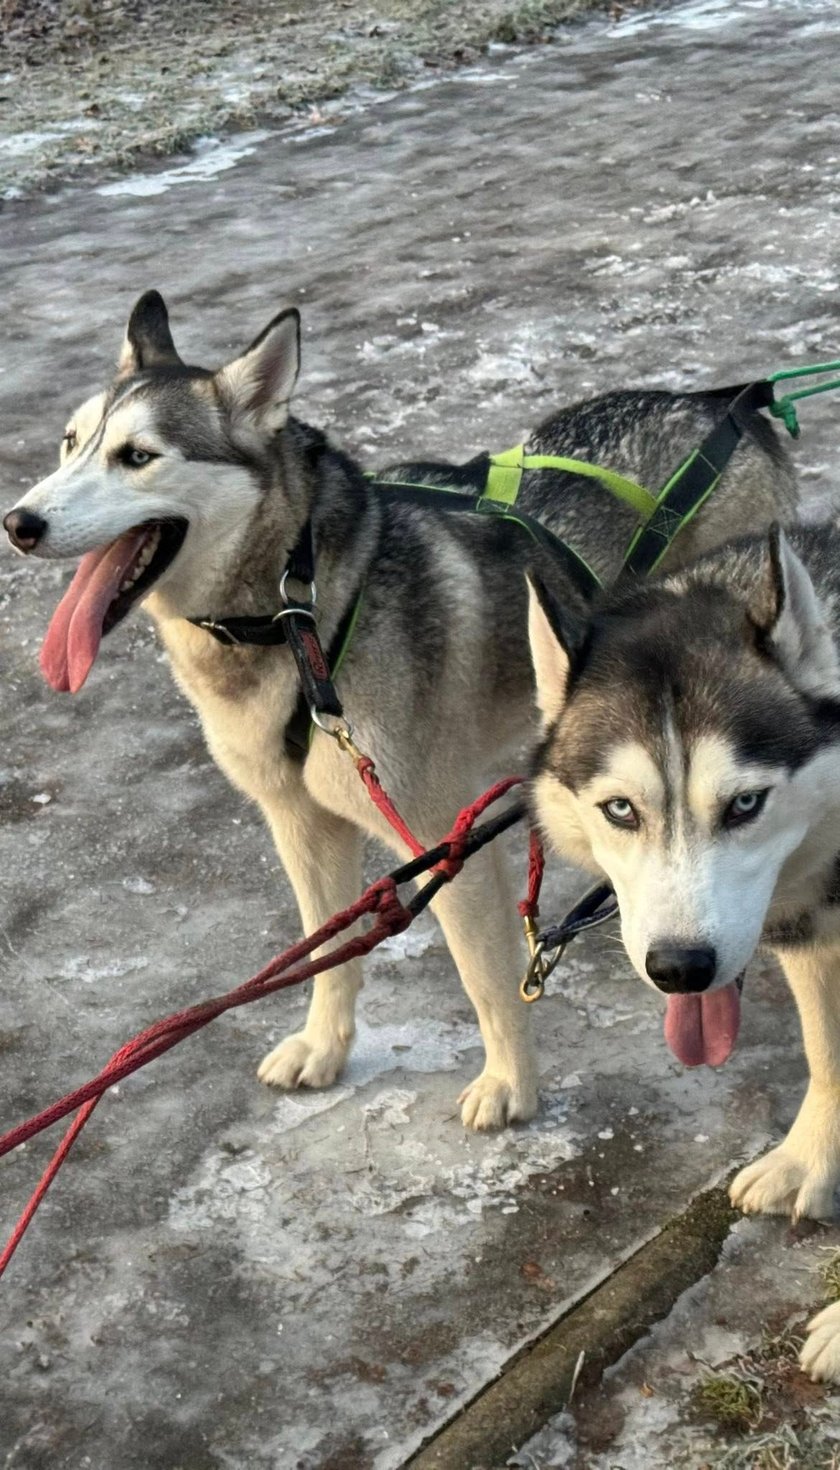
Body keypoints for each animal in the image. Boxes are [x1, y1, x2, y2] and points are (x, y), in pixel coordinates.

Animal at [3, 290, 797, 1131]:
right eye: (70, 444)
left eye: (138, 456)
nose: (19, 523)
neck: (299, 615)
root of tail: (725, 404)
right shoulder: (300, 821)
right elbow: (326, 950)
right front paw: (325, 1048)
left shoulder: (446, 839)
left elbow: (485, 976)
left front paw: (510, 1084)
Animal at [528, 518, 840, 1378]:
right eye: (620, 810)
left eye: (745, 804)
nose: (679, 968)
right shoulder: (814, 936)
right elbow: (827, 1054)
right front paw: (812, 1160)